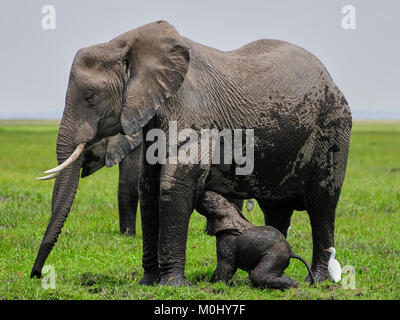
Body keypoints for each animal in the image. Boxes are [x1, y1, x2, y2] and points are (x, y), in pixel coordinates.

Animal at [31, 20, 352, 284]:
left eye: (90, 97)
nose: (36, 275)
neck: (128, 44)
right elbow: (149, 188)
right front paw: (148, 283)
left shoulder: (192, 114)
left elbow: (175, 186)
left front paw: (173, 285)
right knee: (277, 209)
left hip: (333, 127)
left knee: (322, 205)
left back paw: (317, 280)